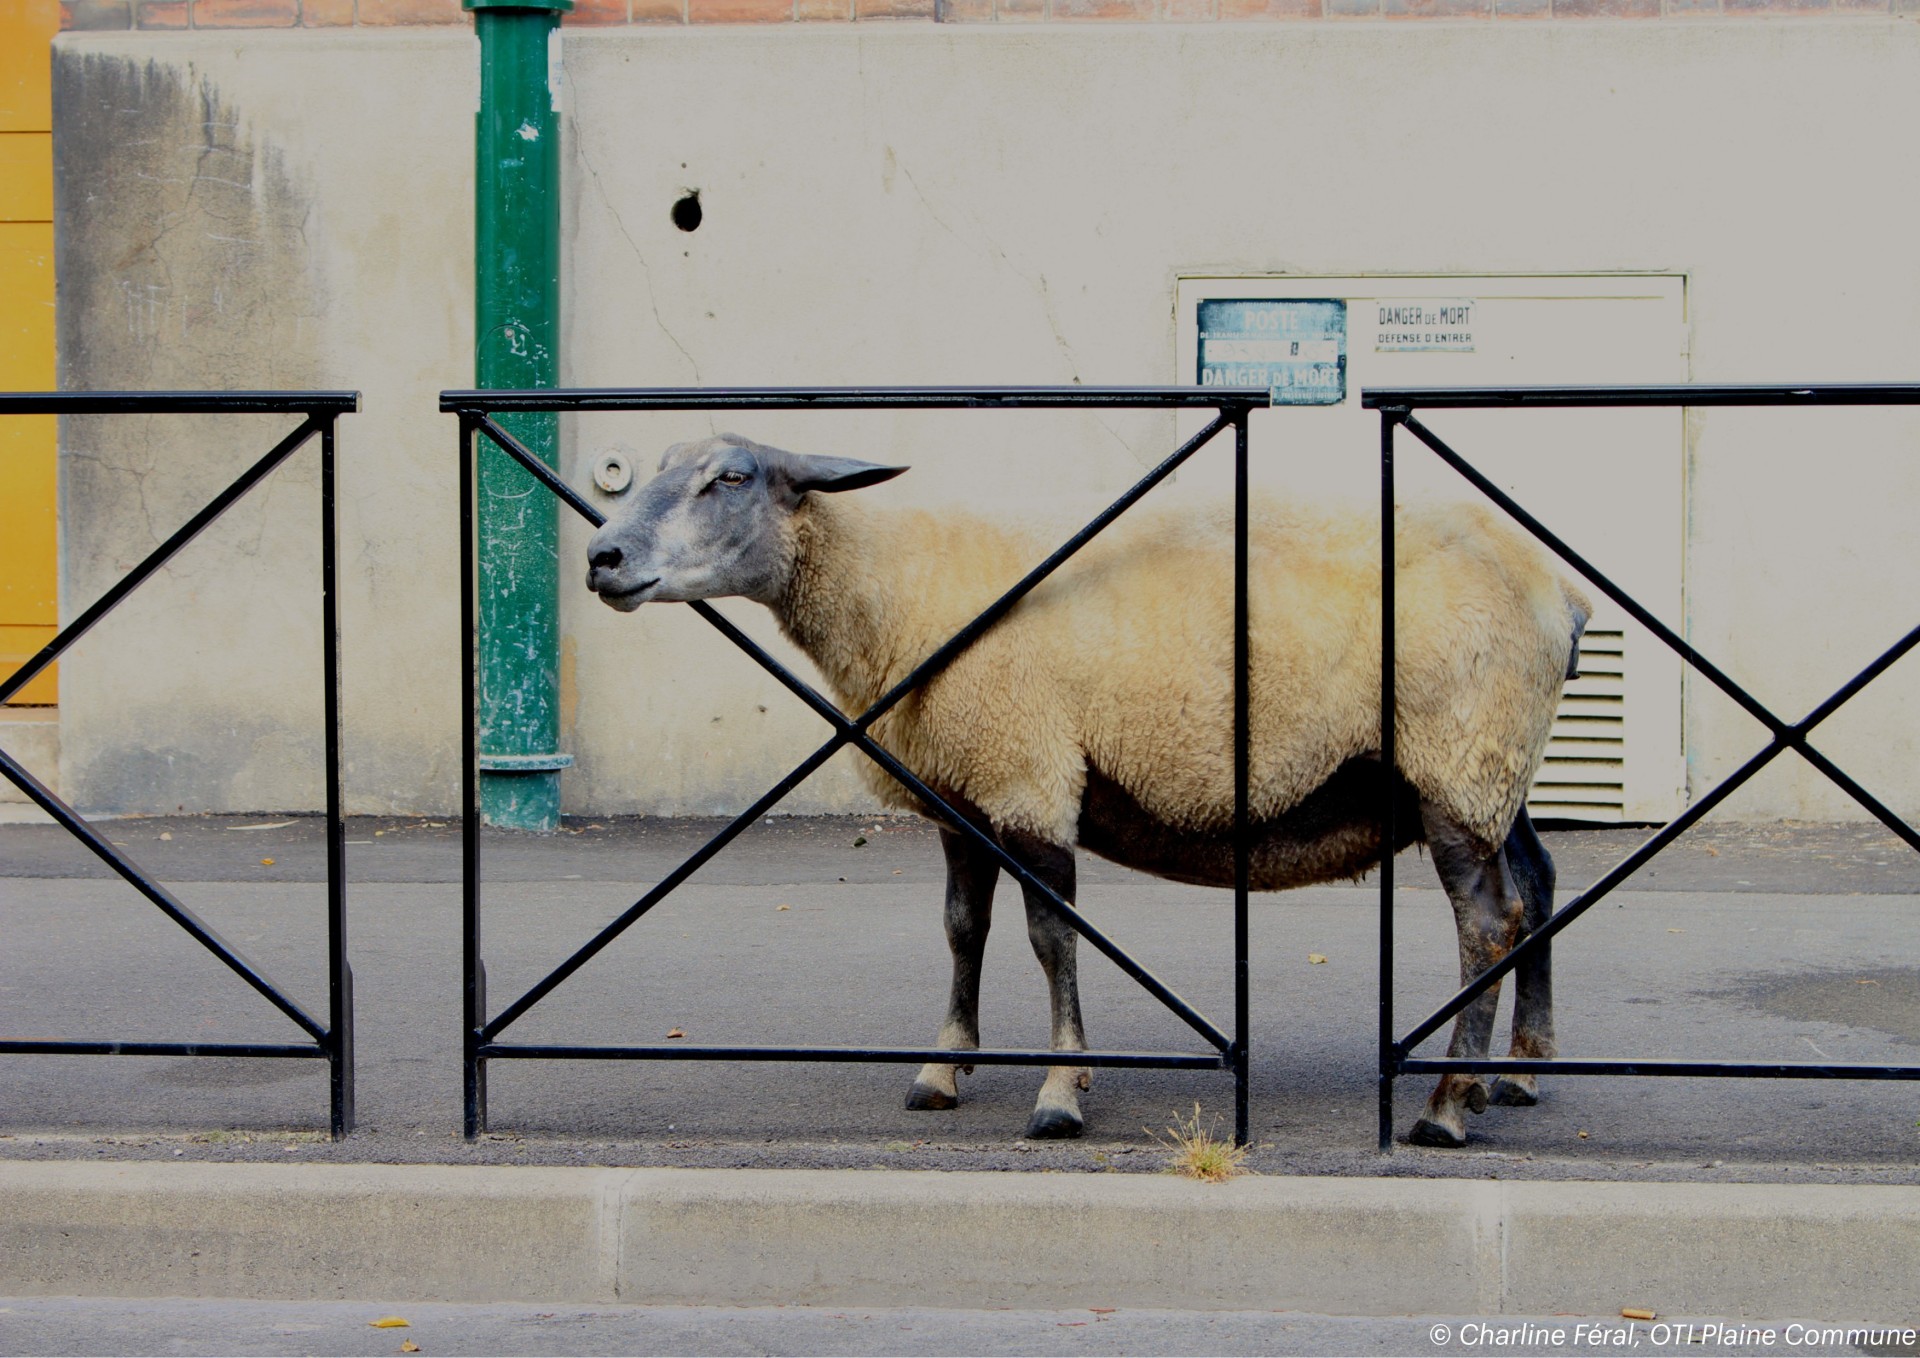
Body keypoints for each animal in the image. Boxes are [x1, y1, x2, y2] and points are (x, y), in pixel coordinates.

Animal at [579, 436, 1589, 1144]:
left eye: (730, 477)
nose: (603, 558)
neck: (898, 590)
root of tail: (1558, 590)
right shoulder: (963, 793)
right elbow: (963, 928)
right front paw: (941, 1071)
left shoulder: (1029, 774)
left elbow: (1049, 937)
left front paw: (1061, 1093)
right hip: (1487, 767)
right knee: (1537, 888)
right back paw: (1519, 1074)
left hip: (1459, 756)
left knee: (1486, 921)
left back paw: (1446, 1106)